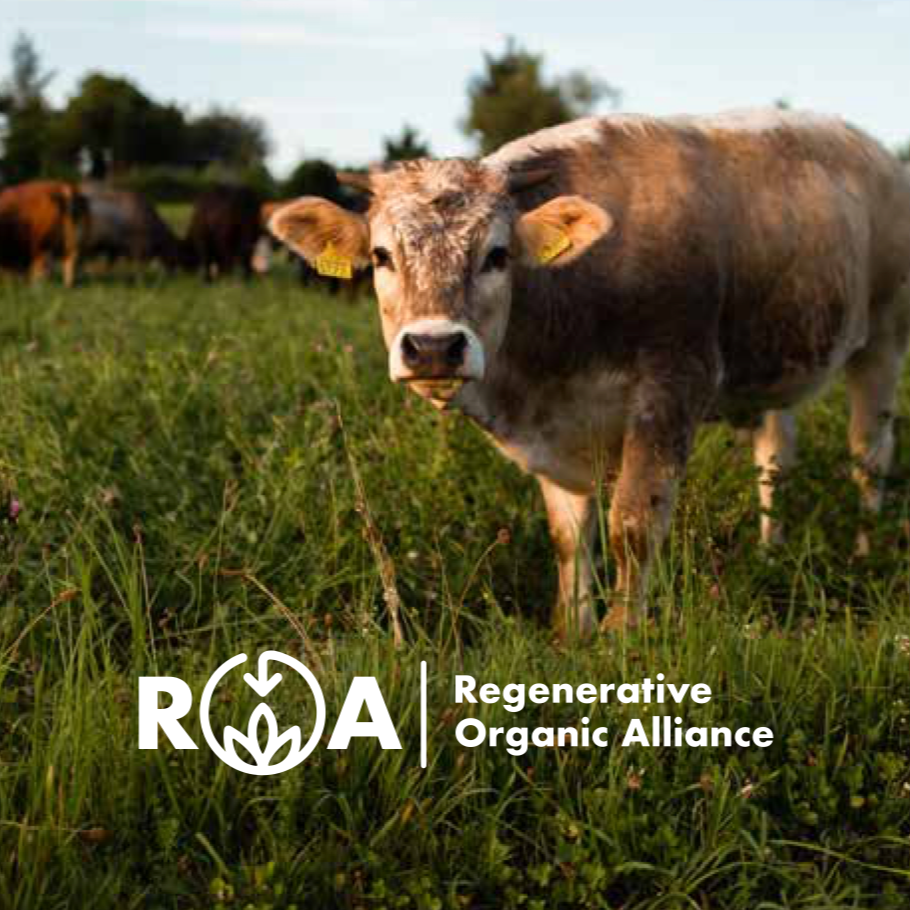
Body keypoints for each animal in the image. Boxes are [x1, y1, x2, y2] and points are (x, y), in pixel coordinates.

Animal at [269, 110, 910, 638]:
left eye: (497, 255)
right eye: (381, 257)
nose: (432, 347)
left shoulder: (672, 385)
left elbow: (632, 523)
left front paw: (620, 635)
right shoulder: (556, 429)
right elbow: (569, 536)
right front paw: (572, 630)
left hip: (882, 341)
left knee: (870, 454)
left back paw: (865, 551)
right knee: (775, 458)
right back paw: (770, 550)